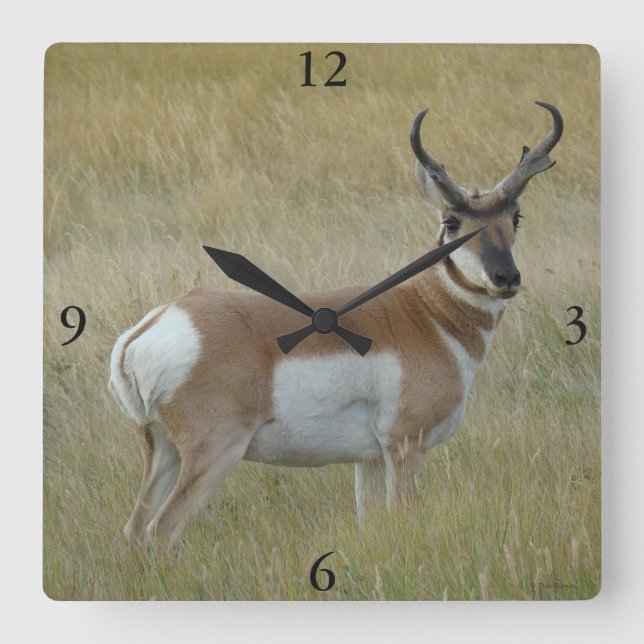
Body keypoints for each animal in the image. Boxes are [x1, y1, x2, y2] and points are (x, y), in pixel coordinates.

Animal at [109, 102, 563, 545]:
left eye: (515, 218)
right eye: (451, 222)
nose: (506, 278)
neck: (426, 315)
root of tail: (150, 331)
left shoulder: (369, 459)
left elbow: (372, 524)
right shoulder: (405, 448)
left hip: (164, 451)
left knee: (134, 529)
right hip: (214, 454)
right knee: (162, 529)